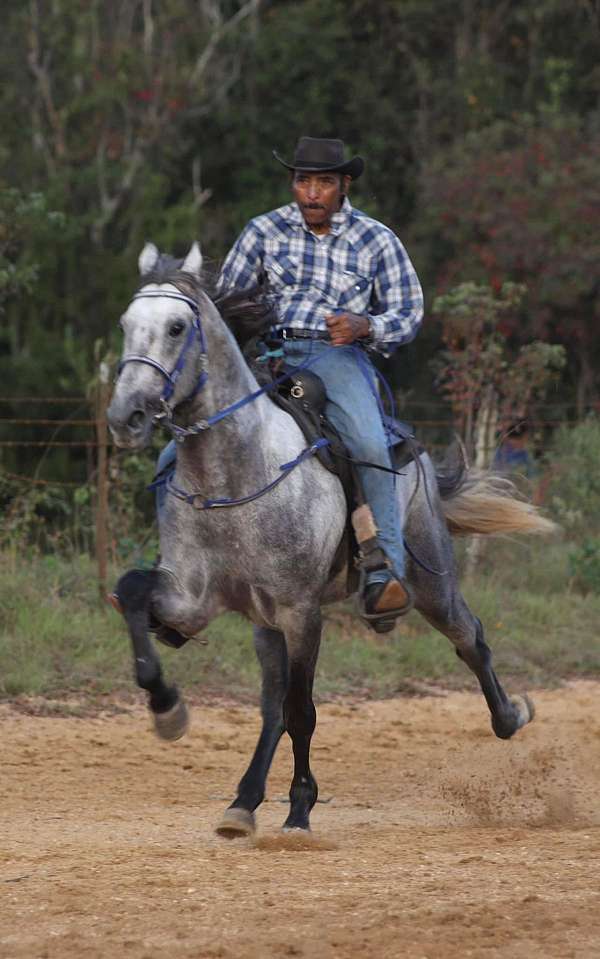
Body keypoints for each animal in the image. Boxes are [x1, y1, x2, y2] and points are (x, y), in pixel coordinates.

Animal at [109, 244, 552, 836]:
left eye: (177, 327)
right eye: (126, 324)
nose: (126, 415)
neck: (235, 475)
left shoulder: (302, 612)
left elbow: (304, 711)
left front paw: (299, 809)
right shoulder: (193, 599)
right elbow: (133, 591)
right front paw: (167, 709)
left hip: (429, 579)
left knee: (470, 638)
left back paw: (510, 716)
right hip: (265, 622)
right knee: (271, 705)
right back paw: (243, 801)